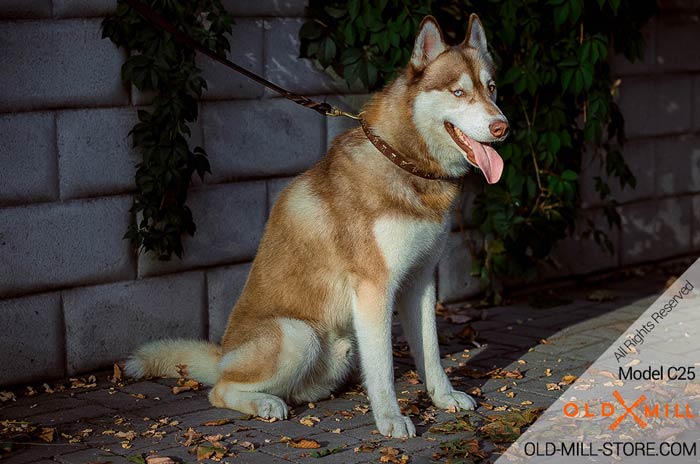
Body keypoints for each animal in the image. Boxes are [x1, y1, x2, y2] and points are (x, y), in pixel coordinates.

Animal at [127, 12, 508, 436]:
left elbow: (432, 353)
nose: (502, 127)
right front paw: (391, 419)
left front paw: (444, 398)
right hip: (298, 335)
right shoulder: (374, 288)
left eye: (491, 88)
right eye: (458, 92)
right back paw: (264, 403)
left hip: (341, 347)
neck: (403, 161)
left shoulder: (420, 282)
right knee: (220, 390)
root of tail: (223, 353)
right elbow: (384, 368)